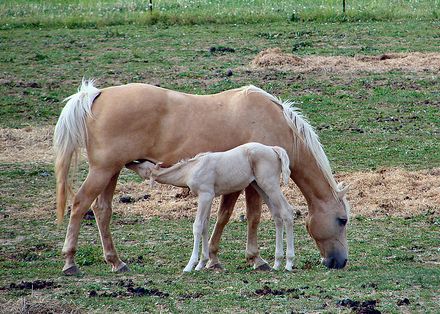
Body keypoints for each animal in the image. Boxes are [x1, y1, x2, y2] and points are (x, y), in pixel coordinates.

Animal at [127, 142, 296, 272]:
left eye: (142, 166)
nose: (129, 162)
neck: (192, 169)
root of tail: (273, 149)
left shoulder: (205, 195)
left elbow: (197, 226)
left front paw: (190, 265)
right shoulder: (208, 197)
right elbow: (205, 226)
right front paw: (202, 263)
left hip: (270, 185)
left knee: (287, 212)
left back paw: (288, 263)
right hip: (260, 187)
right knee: (277, 215)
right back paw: (277, 263)